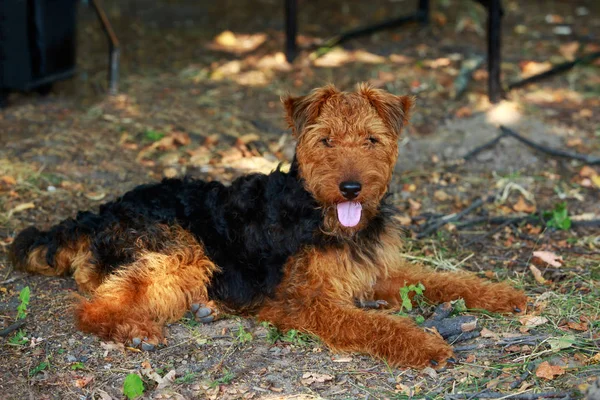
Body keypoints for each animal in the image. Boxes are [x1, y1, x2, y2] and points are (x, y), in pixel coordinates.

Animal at [9, 84, 524, 368]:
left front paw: (506, 296)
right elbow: (373, 324)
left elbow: (444, 280)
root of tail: (97, 211)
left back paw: (206, 309)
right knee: (94, 303)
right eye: (326, 140)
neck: (319, 213)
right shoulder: (304, 301)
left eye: (371, 140)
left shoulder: (374, 272)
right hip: (180, 249)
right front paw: (425, 343)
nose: (351, 188)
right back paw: (135, 329)